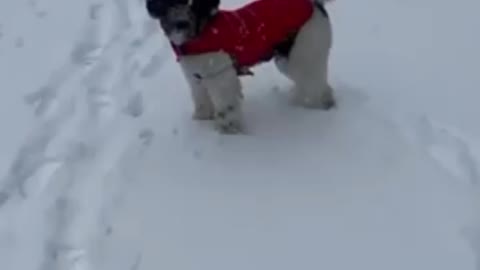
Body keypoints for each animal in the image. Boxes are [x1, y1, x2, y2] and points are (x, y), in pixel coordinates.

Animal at [144, 0, 336, 134]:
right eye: (170, 3)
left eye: (194, 5)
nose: (181, 23)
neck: (201, 33)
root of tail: (315, 4)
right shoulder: (195, 77)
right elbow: (201, 99)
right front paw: (201, 119)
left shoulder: (220, 76)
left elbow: (226, 108)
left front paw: (229, 133)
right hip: (290, 58)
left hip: (304, 51)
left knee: (316, 85)